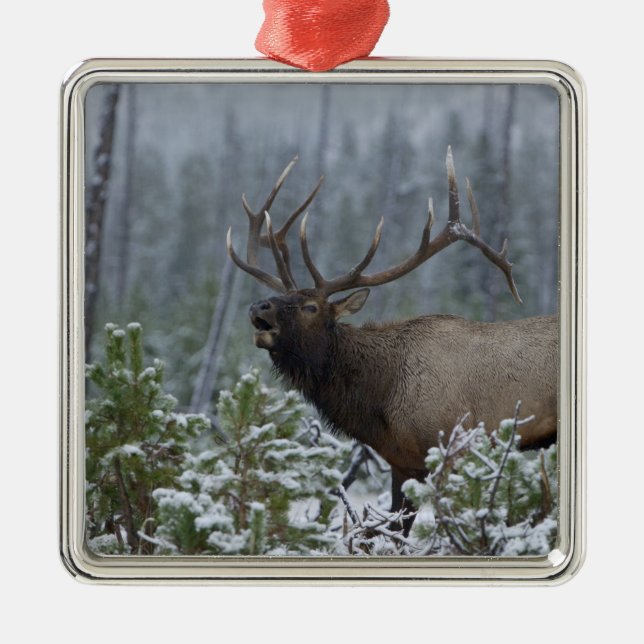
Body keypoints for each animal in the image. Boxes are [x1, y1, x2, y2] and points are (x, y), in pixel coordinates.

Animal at [226, 148, 558, 534]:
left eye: (311, 306)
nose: (258, 306)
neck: (380, 396)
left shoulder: (453, 446)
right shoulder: (402, 462)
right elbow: (397, 529)